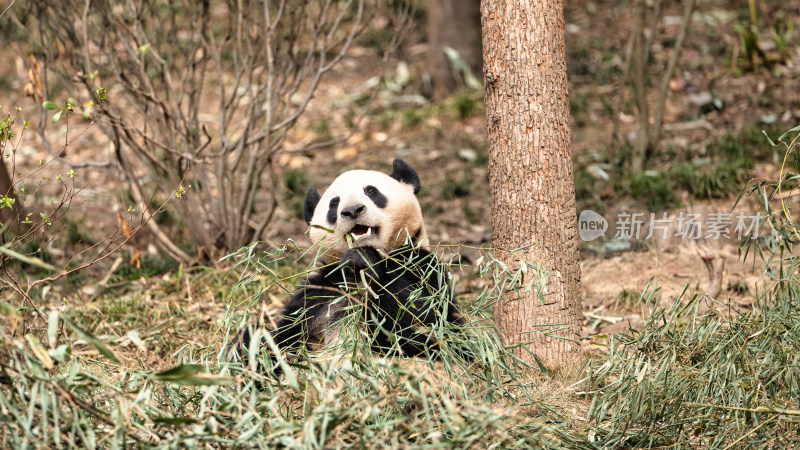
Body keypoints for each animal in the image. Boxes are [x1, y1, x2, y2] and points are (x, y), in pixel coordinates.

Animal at [234, 158, 466, 370]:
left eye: (371, 191)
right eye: (334, 203)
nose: (353, 210)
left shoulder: (421, 266)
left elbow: (420, 324)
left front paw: (364, 260)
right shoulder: (322, 290)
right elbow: (284, 335)